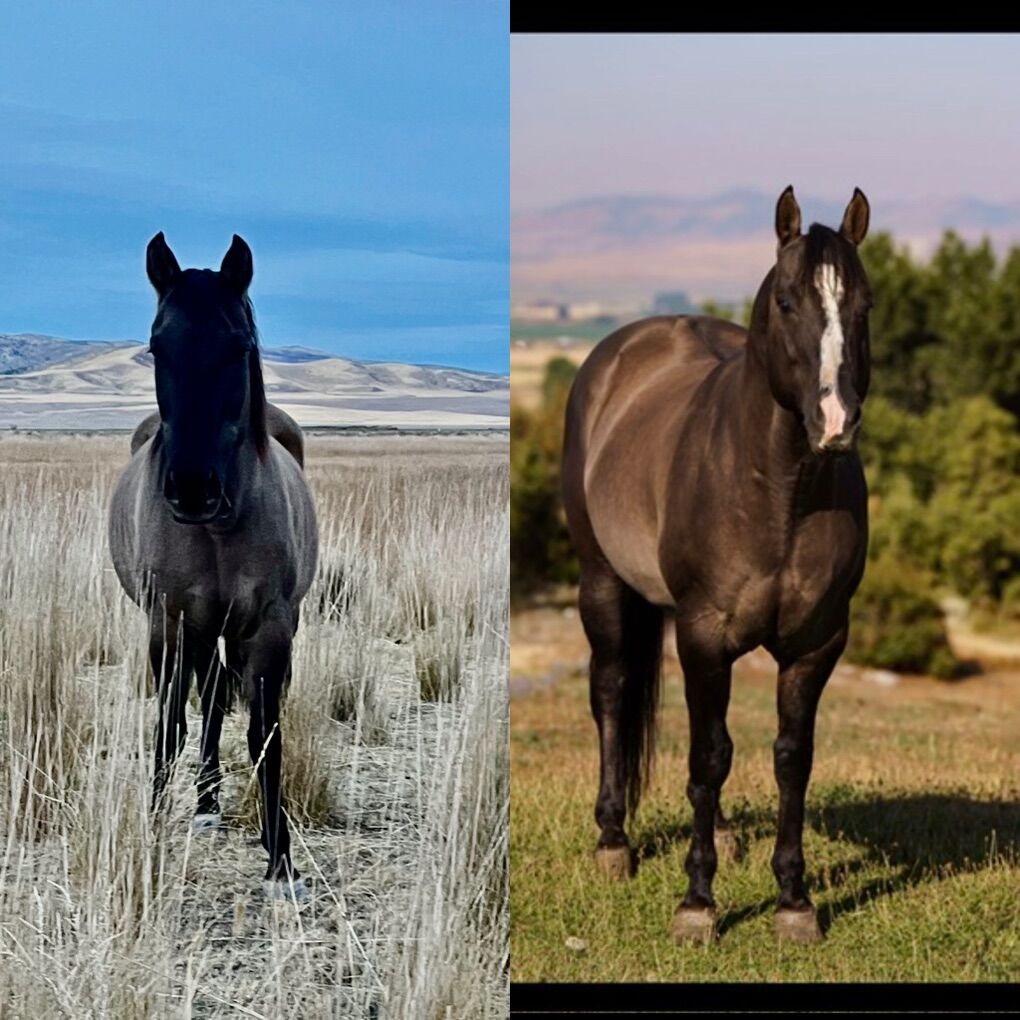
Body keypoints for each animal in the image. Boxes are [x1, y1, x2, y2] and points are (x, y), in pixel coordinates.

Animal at [108, 233, 318, 900]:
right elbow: (170, 723)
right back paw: (201, 803)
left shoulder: (270, 627)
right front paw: (151, 827)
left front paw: (280, 862)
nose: (192, 487)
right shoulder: (170, 621)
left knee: (221, 699)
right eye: (158, 345)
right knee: (204, 699)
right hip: (199, 629)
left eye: (238, 346)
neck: (218, 527)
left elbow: (264, 734)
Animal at [562, 186, 872, 944]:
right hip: (603, 584)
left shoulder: (816, 644)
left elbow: (788, 757)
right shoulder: (706, 633)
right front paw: (697, 903)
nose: (836, 421)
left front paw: (794, 901)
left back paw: (727, 835)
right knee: (611, 693)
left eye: (865, 303)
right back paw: (613, 840)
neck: (780, 492)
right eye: (787, 300)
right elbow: (707, 756)